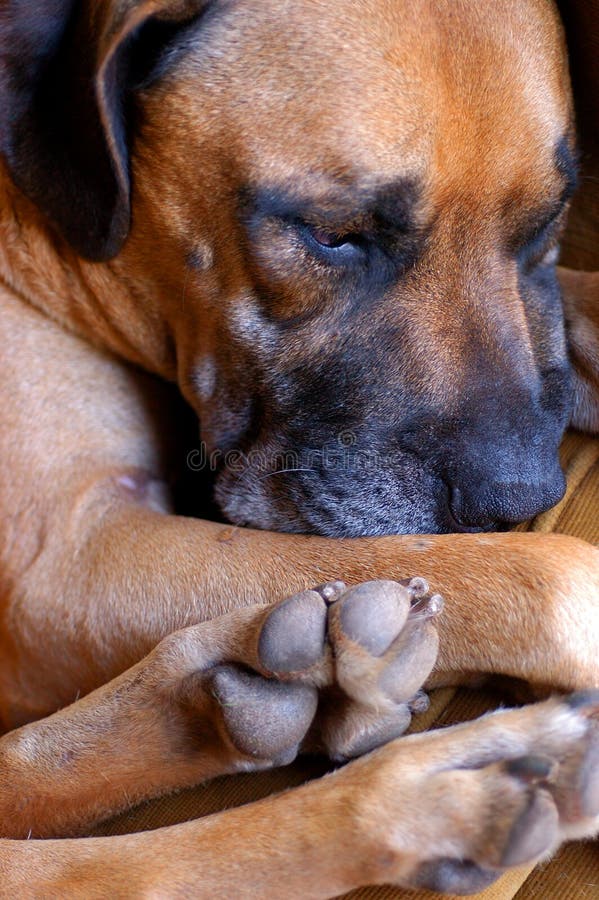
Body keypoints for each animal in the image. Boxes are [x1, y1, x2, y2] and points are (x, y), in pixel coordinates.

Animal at [1, 0, 599, 896]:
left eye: (544, 226)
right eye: (331, 235)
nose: (522, 497)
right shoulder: (65, 565)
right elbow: (530, 573)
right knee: (119, 865)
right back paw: (436, 784)